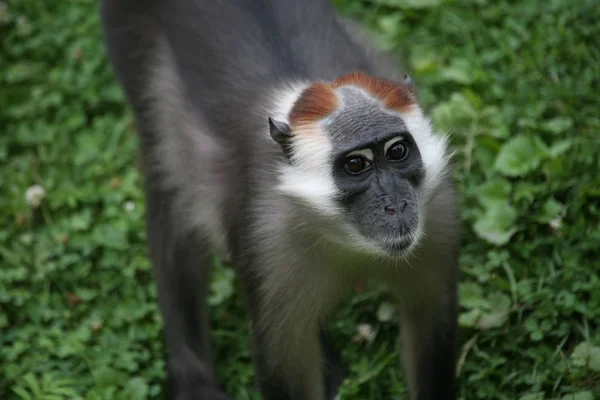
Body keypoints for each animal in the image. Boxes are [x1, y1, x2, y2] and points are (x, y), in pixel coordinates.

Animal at [101, 0, 462, 400]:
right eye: (356, 165)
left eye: (397, 151)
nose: (396, 206)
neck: (347, 238)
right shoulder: (268, 239)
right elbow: (285, 370)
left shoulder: (436, 219)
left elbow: (430, 329)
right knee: (171, 192)